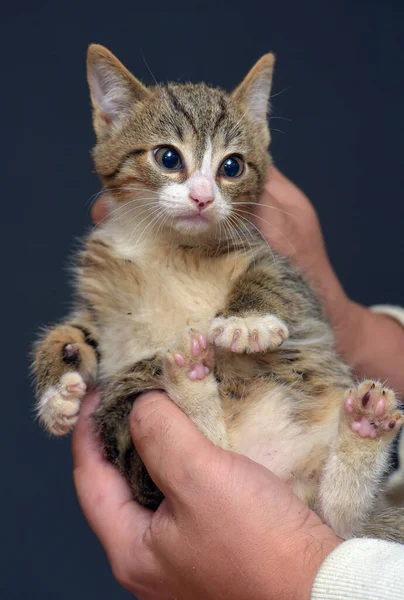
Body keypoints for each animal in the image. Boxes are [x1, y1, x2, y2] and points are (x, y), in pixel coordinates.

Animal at [33, 44, 404, 540]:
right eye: (168, 158)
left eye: (232, 166)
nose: (203, 197)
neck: (167, 247)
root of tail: (280, 476)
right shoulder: (99, 293)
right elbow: (73, 331)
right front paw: (59, 388)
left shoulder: (275, 260)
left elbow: (270, 278)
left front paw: (247, 323)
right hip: (125, 402)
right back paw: (192, 380)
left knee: (342, 517)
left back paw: (365, 426)